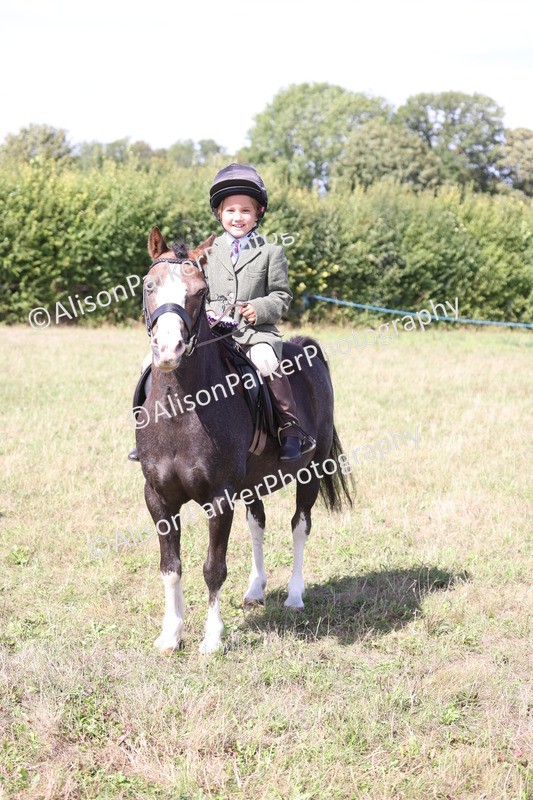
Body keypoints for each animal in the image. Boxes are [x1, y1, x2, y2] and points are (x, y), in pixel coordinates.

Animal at [136, 227, 353, 654]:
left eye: (199, 292)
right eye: (149, 286)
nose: (168, 350)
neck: (183, 406)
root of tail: (307, 347)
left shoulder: (219, 498)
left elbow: (213, 568)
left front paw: (212, 639)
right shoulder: (158, 497)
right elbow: (171, 567)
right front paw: (171, 634)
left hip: (312, 472)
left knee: (300, 525)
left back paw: (294, 596)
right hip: (253, 483)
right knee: (258, 524)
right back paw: (255, 590)